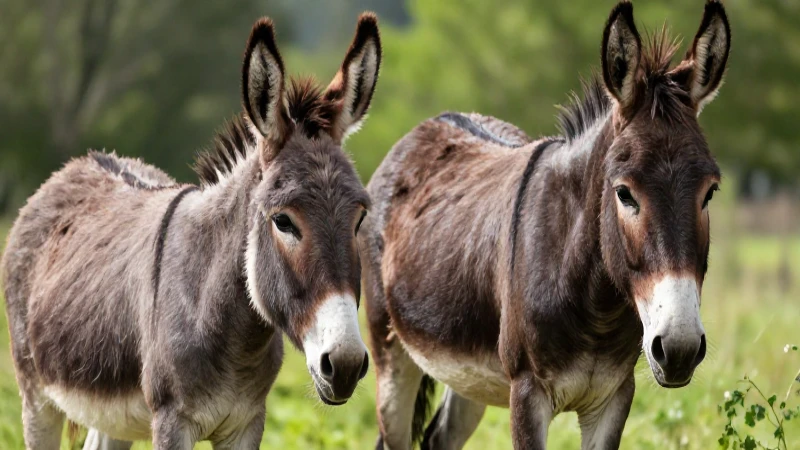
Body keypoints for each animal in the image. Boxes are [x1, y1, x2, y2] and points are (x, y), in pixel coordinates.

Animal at [2, 13, 381, 449]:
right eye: (283, 221)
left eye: (360, 218)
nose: (346, 364)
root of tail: (80, 163)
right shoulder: (172, 421)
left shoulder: (248, 421)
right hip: (35, 395)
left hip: (111, 414)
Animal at [360, 1, 730, 448]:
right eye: (624, 193)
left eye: (710, 192)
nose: (679, 349)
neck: (596, 311)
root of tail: (432, 123)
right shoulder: (526, 393)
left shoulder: (614, 395)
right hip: (391, 351)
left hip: (469, 376)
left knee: (438, 438)